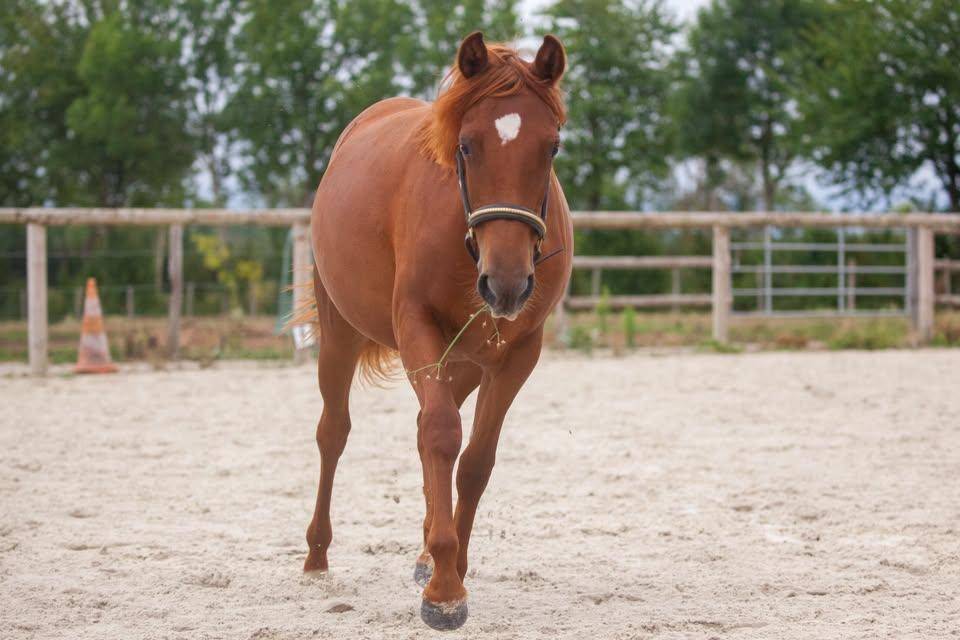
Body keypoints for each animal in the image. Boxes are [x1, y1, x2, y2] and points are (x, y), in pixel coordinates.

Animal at [300, 31, 572, 631]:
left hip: (464, 363)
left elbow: (474, 460)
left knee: (426, 430)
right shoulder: (416, 328)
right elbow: (443, 435)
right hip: (342, 333)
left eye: (551, 147)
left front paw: (449, 567)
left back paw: (425, 551)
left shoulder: (518, 353)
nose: (507, 281)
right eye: (466, 146)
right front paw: (444, 591)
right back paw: (316, 556)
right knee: (335, 432)